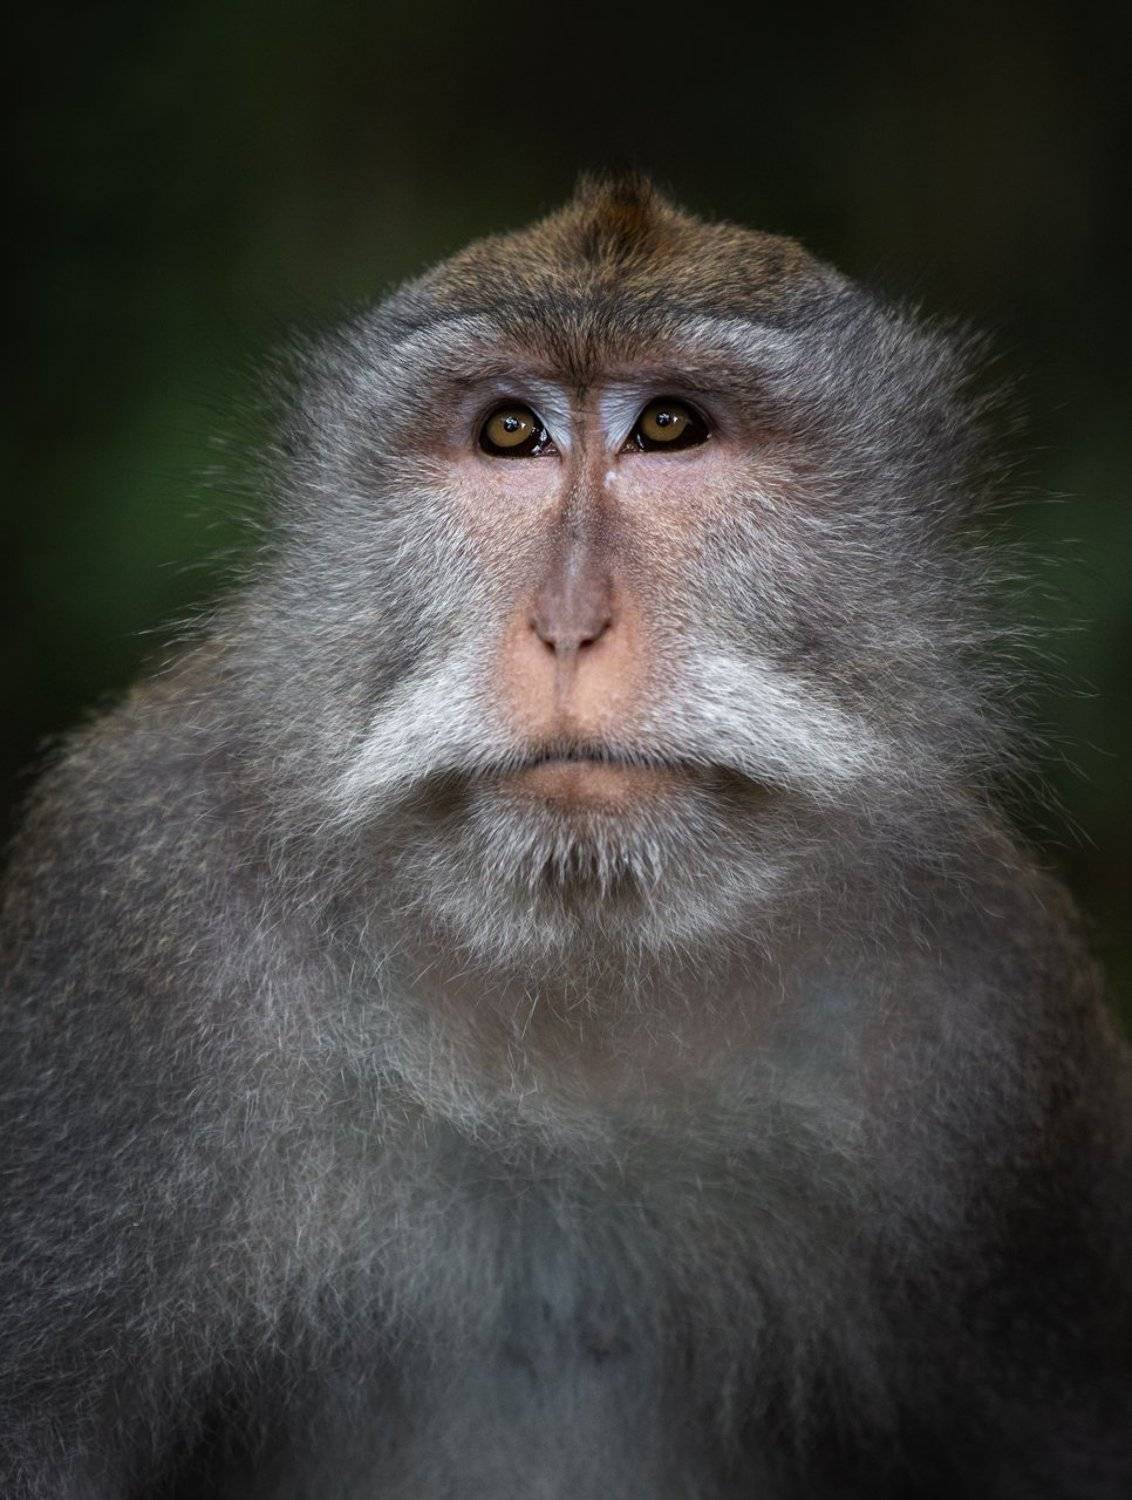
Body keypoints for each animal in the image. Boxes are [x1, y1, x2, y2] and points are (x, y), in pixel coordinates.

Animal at [1, 171, 1129, 1499]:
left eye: (671, 428)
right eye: (508, 434)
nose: (568, 622)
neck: (575, 972)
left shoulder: (990, 1000)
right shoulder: (129, 921)